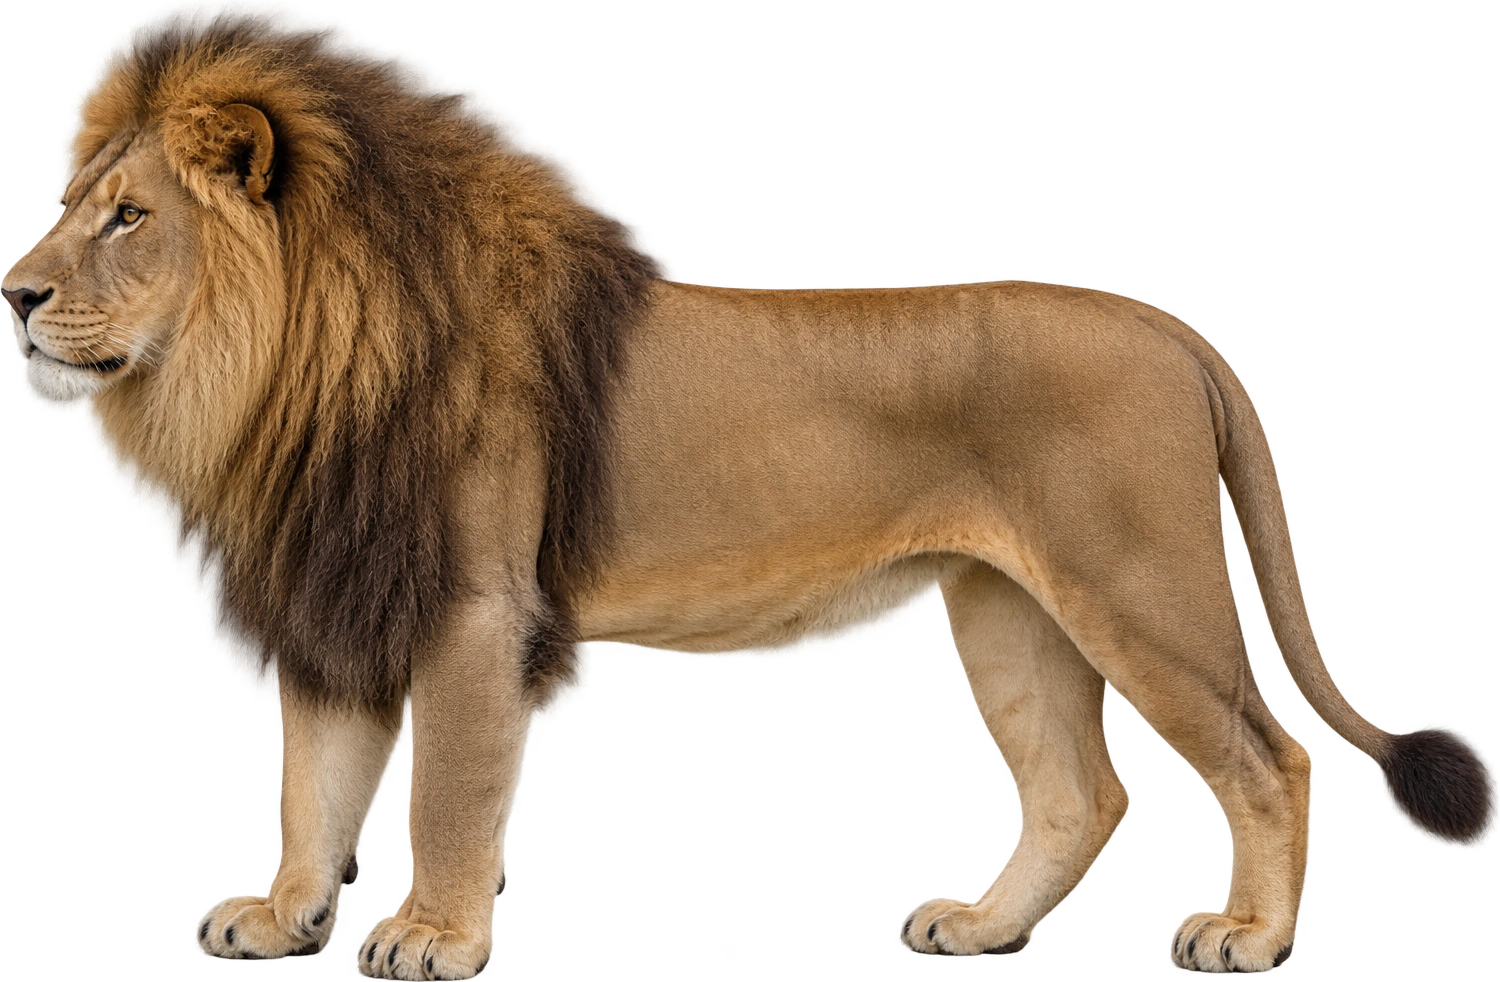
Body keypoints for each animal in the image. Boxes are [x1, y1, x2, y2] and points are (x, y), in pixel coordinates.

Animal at [4, 24, 1490, 980]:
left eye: (129, 217)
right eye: (83, 204)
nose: (13, 293)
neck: (281, 375)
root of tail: (1168, 327)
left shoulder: (476, 608)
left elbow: (444, 793)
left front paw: (431, 935)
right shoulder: (341, 591)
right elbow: (308, 782)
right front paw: (276, 915)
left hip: (1139, 591)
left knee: (1267, 757)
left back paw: (1250, 936)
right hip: (1010, 615)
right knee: (1077, 793)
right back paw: (977, 927)